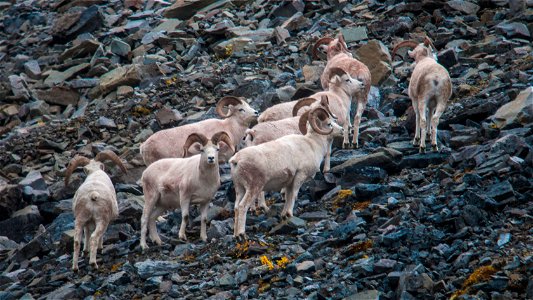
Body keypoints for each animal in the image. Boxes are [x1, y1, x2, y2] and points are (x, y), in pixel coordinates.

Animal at [229, 106, 340, 240]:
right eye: (329, 124)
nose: (342, 130)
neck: (312, 144)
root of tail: (236, 160)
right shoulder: (299, 176)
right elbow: (293, 196)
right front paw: (289, 214)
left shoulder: (289, 182)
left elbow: (288, 196)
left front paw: (284, 216)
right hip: (253, 188)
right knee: (242, 207)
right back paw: (241, 235)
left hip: (240, 189)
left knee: (236, 207)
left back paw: (235, 235)